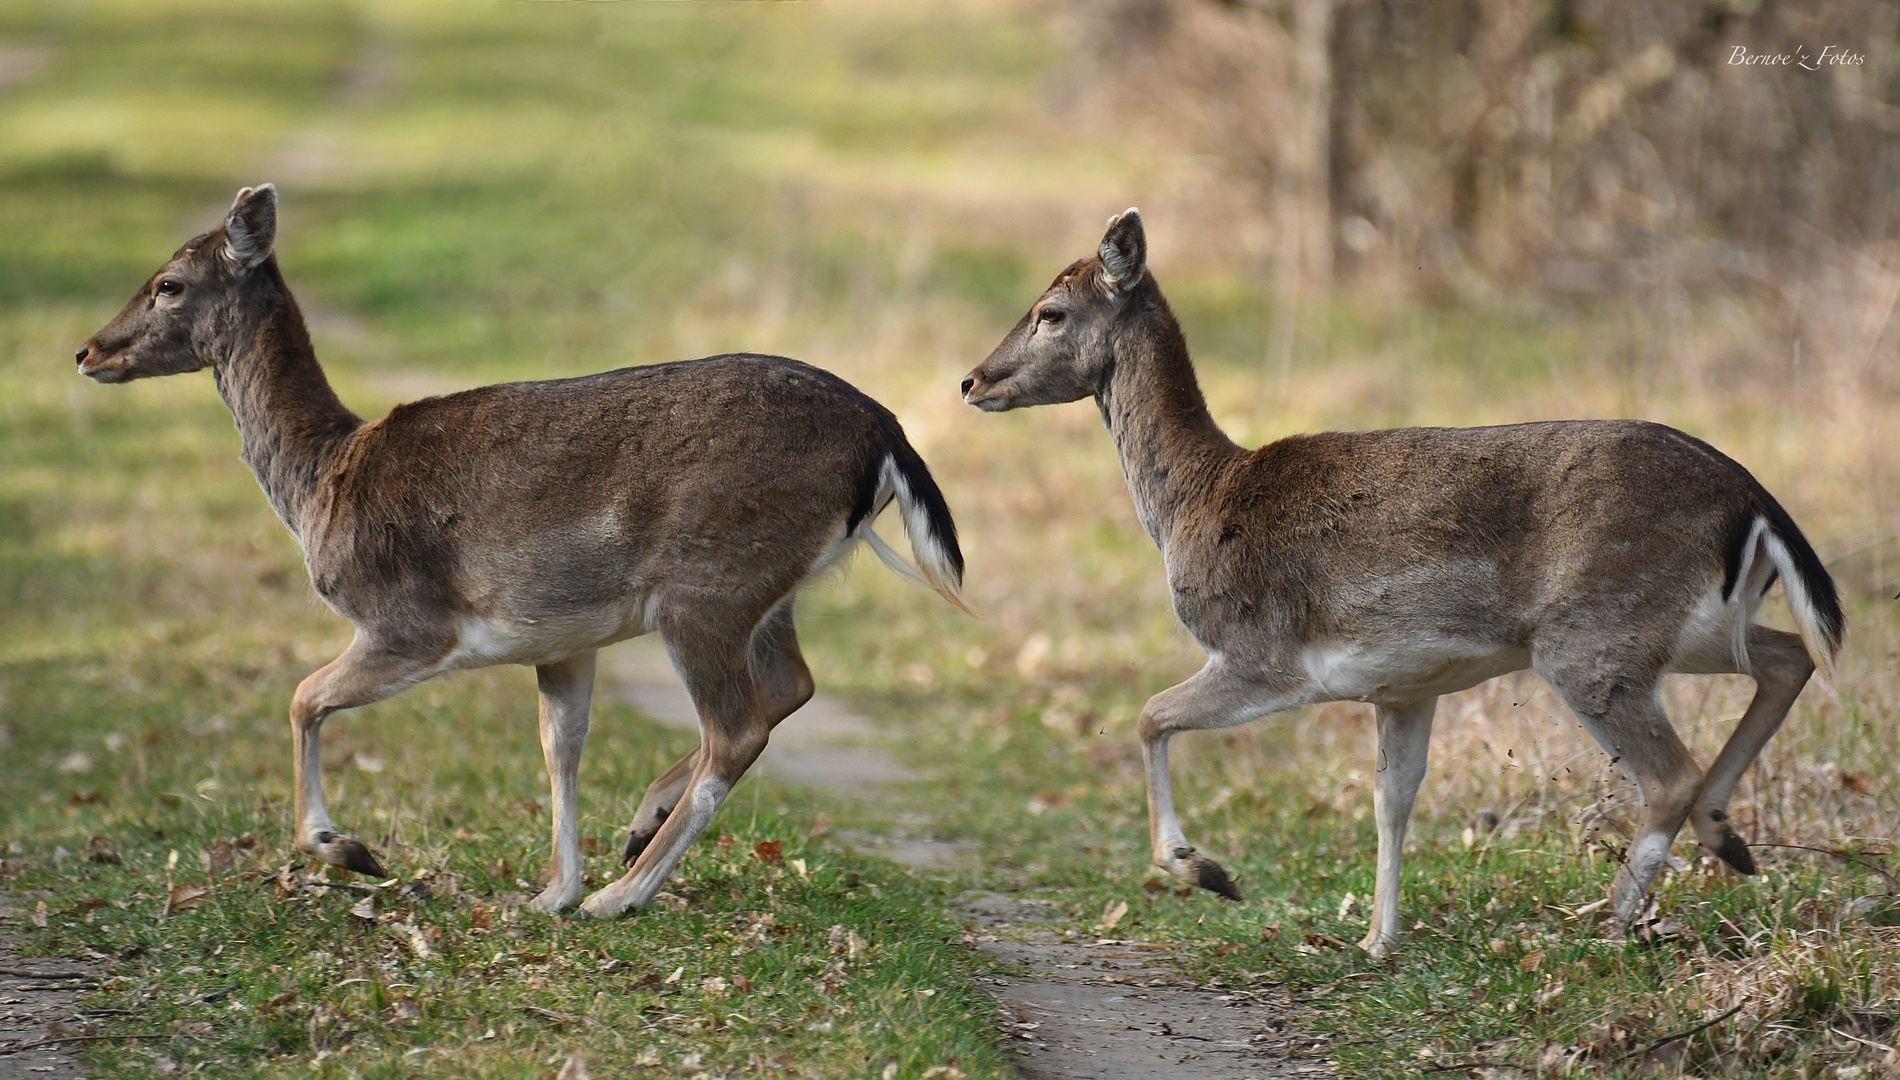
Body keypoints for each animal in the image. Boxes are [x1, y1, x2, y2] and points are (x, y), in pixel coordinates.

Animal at [76, 187, 972, 920]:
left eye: (168, 283)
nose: (87, 350)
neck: (324, 482)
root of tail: (884, 433)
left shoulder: (411, 622)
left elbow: (302, 696)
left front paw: (348, 848)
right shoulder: (560, 639)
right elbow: (559, 747)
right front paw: (550, 892)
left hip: (707, 582)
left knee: (739, 727)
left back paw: (625, 892)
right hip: (765, 587)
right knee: (792, 685)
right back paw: (635, 834)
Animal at [965, 209, 1839, 954]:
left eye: (1051, 312)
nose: (972, 380)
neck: (1197, 499)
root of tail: (1751, 496)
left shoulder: (1264, 655)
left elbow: (1149, 716)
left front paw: (1205, 870)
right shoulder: (1404, 686)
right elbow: (1392, 798)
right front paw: (1378, 939)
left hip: (1593, 635)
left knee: (1670, 772)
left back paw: (1616, 916)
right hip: (1684, 624)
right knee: (1790, 655)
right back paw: (1728, 840)